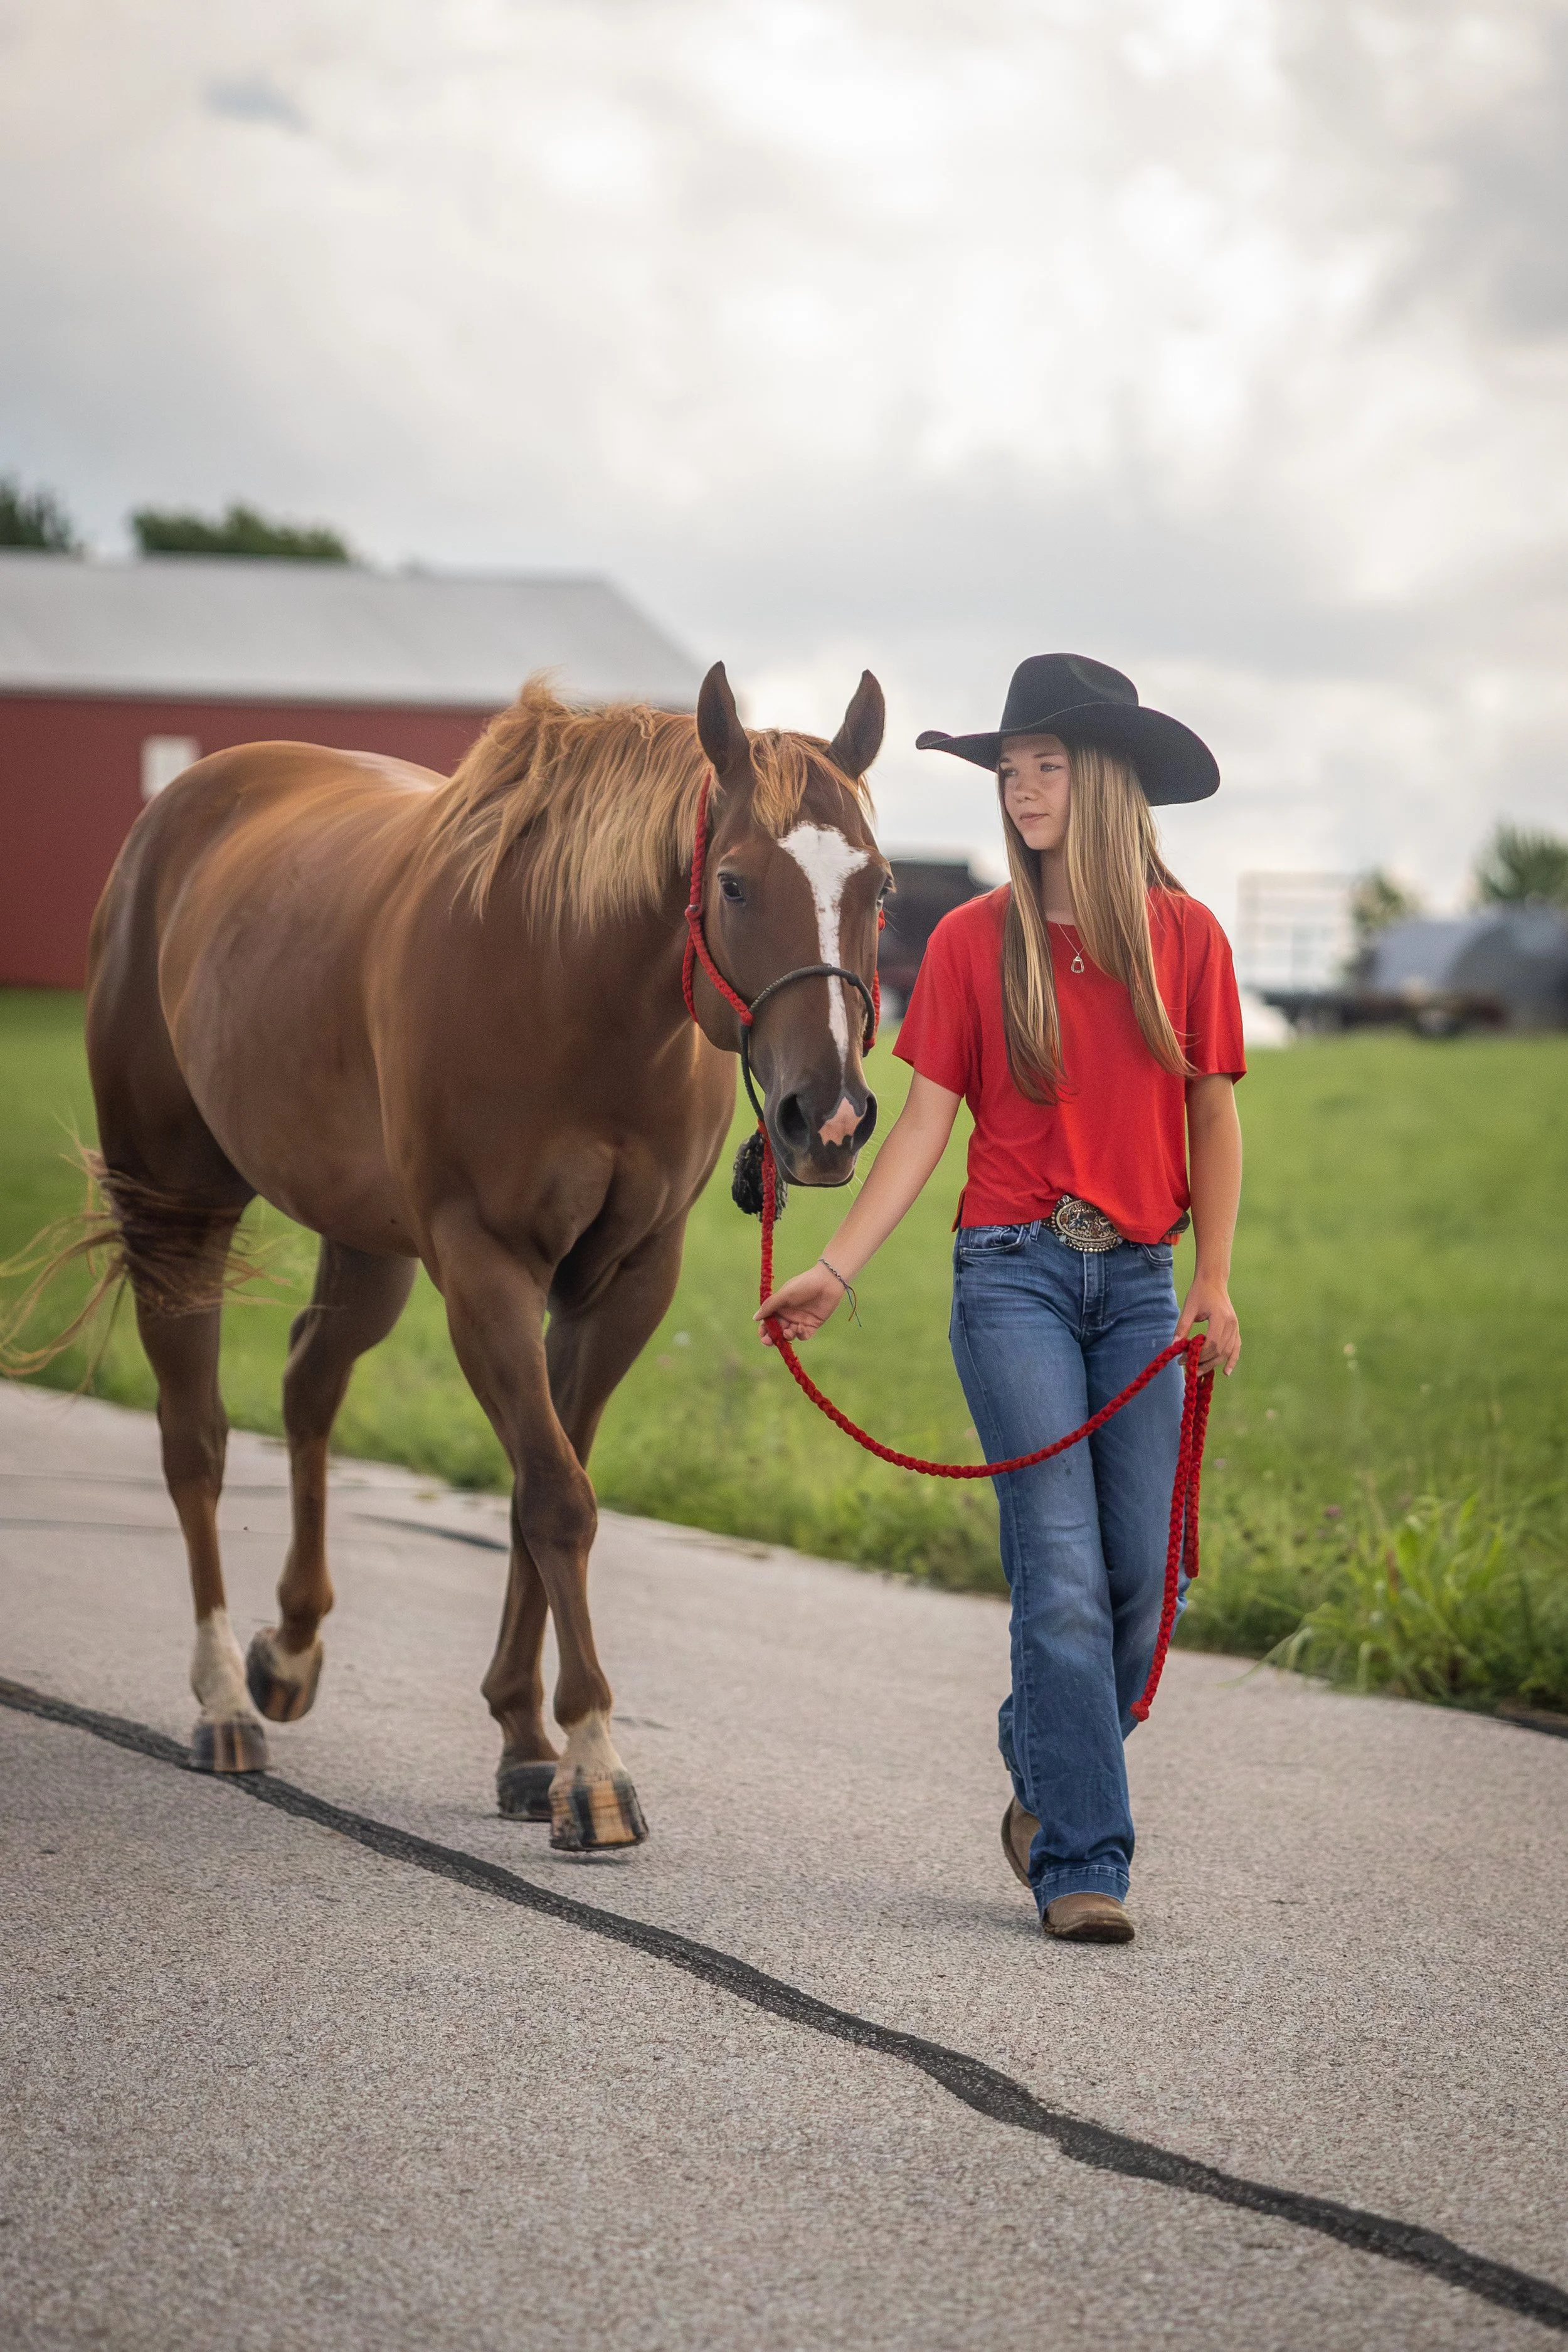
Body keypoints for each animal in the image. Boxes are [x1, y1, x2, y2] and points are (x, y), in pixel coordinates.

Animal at [77, 660, 889, 1850]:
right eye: (736, 884)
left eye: (878, 888)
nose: (825, 1119)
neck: (574, 986)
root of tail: (178, 809)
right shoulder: (483, 1265)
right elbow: (557, 1496)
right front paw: (594, 1766)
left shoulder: (624, 1283)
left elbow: (537, 1489)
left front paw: (524, 1741)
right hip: (178, 1204)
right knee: (197, 1440)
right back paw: (225, 1697)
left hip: (365, 1243)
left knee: (310, 1379)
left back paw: (291, 1651)